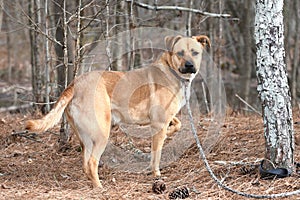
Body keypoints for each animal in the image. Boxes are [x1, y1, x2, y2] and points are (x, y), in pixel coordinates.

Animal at [26, 34, 211, 188]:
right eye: (180, 53)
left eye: (195, 53)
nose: (190, 66)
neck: (172, 71)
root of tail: (74, 84)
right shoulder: (159, 122)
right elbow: (157, 155)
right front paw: (156, 174)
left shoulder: (161, 120)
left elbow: (176, 125)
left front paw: (170, 132)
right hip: (102, 133)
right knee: (92, 162)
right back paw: (100, 188)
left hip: (85, 137)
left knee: (85, 164)